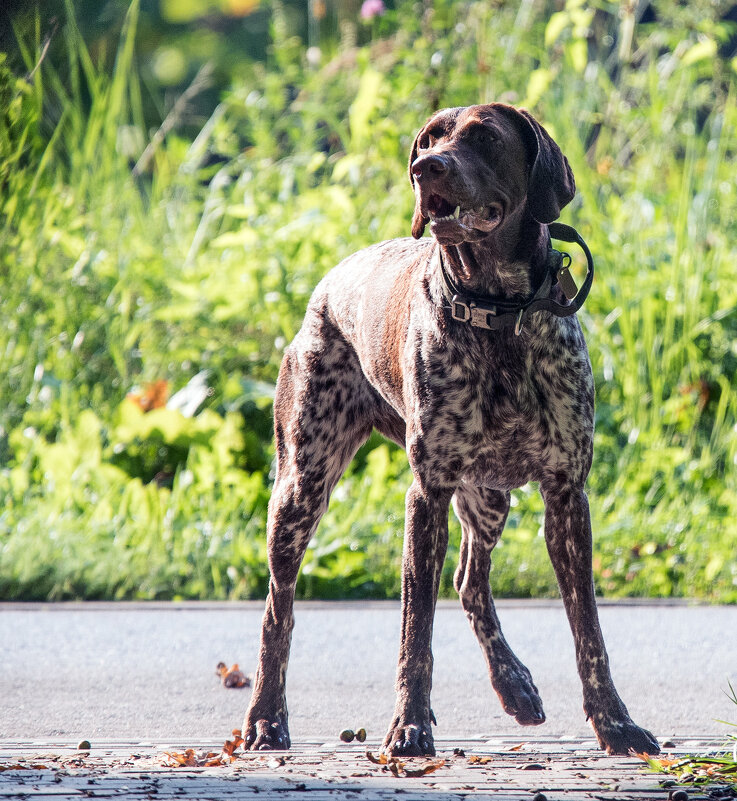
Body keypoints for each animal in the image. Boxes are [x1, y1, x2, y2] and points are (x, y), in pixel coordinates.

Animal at [243, 101, 660, 756]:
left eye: (484, 136)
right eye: (429, 138)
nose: (426, 167)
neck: (500, 312)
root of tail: (329, 283)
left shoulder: (567, 496)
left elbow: (588, 630)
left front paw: (615, 722)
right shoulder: (428, 495)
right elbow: (416, 630)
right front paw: (409, 726)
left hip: (489, 499)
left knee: (470, 580)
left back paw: (514, 684)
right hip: (301, 488)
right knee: (277, 606)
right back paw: (265, 715)